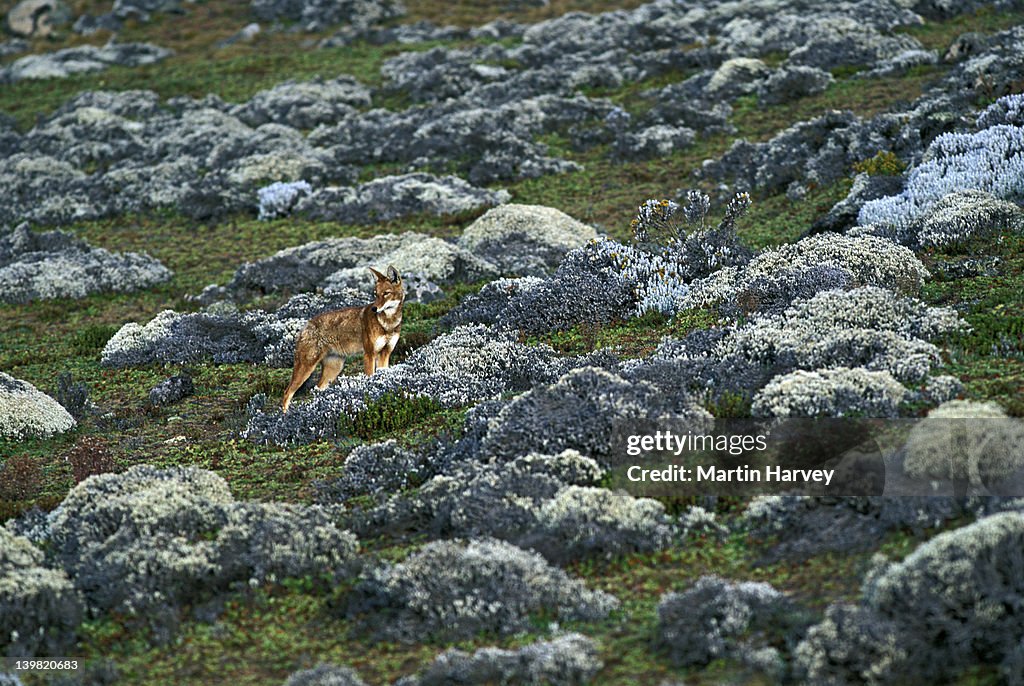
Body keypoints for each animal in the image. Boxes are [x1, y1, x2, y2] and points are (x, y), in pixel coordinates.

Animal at [282, 265, 403, 413]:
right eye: (375, 294)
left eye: (386, 293)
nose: (374, 308)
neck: (388, 324)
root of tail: (305, 325)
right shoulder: (369, 354)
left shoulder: (385, 354)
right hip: (306, 369)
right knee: (287, 393)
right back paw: (284, 416)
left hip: (334, 369)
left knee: (316, 388)